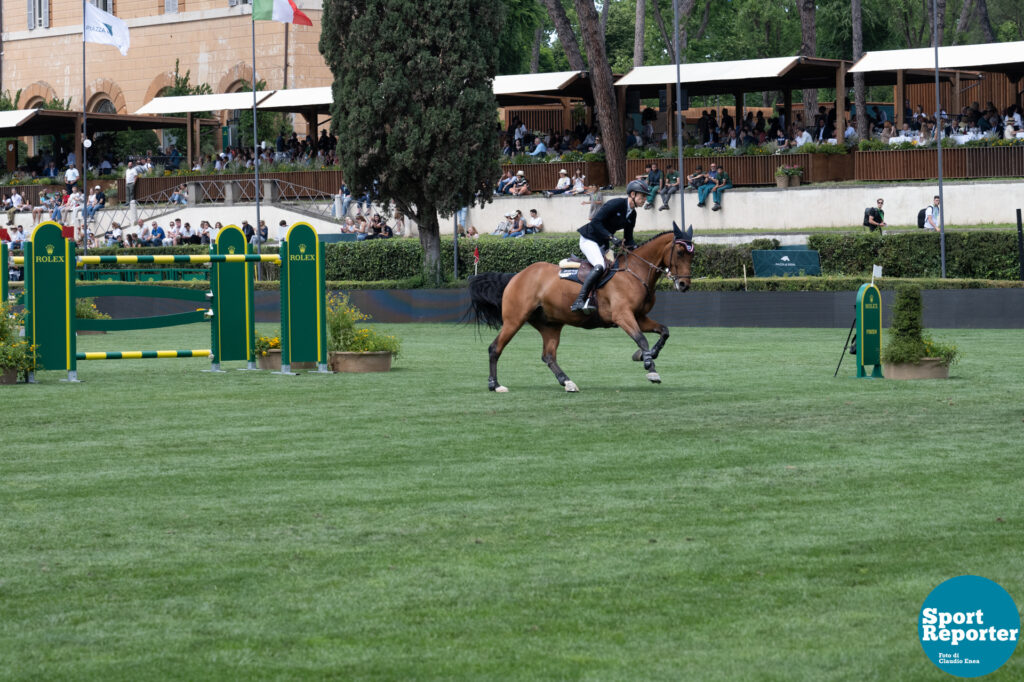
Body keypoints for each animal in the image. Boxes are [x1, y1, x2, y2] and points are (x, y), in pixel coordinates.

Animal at [466, 223, 692, 391]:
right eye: (680, 252)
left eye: (692, 254)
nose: (684, 285)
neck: (635, 272)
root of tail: (516, 276)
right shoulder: (622, 316)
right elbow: (641, 339)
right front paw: (650, 367)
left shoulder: (639, 317)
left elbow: (664, 331)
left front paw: (646, 355)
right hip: (514, 320)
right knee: (495, 348)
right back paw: (495, 385)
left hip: (550, 325)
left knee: (548, 356)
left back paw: (567, 382)